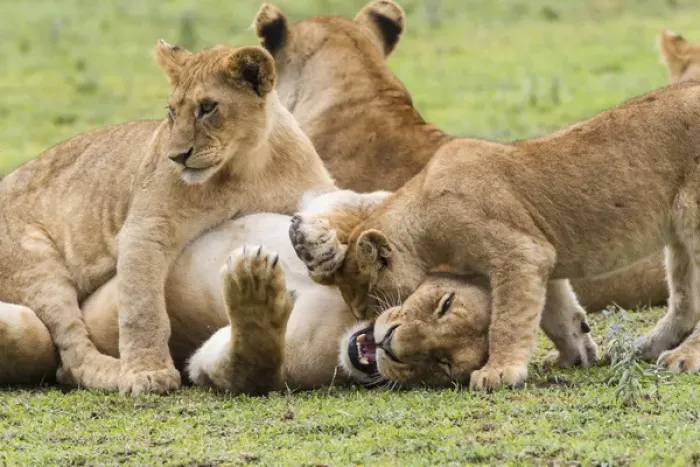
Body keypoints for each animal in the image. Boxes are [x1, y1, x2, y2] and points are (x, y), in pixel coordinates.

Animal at [0, 41, 337, 394]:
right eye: (173, 111)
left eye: (207, 108)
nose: (177, 156)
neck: (247, 166)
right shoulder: (146, 228)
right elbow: (141, 308)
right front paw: (147, 373)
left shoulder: (312, 186)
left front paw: (324, 246)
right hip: (38, 266)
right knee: (71, 357)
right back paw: (115, 372)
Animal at [290, 82, 700, 391]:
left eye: (368, 301)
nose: (372, 328)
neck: (423, 207)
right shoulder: (543, 254)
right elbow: (558, 315)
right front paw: (575, 354)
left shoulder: (520, 252)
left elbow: (509, 318)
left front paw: (499, 371)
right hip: (679, 241)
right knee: (685, 300)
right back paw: (643, 347)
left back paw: (682, 356)